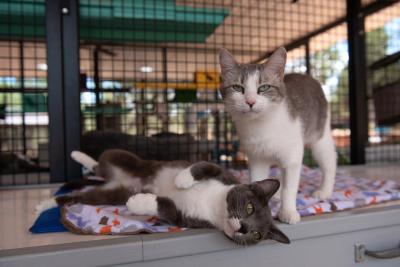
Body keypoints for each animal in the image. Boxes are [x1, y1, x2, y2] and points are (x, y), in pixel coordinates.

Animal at [37, 150, 290, 246]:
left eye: (256, 235)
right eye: (249, 208)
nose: (244, 228)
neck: (215, 206)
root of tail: (117, 179)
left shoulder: (187, 219)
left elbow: (166, 208)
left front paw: (139, 202)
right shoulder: (224, 173)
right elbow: (202, 166)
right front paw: (182, 179)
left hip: (110, 194)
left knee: (81, 196)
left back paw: (47, 202)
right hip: (126, 158)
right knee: (101, 163)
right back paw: (79, 156)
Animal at [219, 47, 338, 225]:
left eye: (263, 88)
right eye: (237, 88)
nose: (250, 101)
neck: (261, 125)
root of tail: (308, 76)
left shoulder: (293, 157)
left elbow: (289, 188)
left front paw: (288, 211)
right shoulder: (256, 158)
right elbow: (257, 180)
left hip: (320, 137)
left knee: (329, 161)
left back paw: (324, 190)